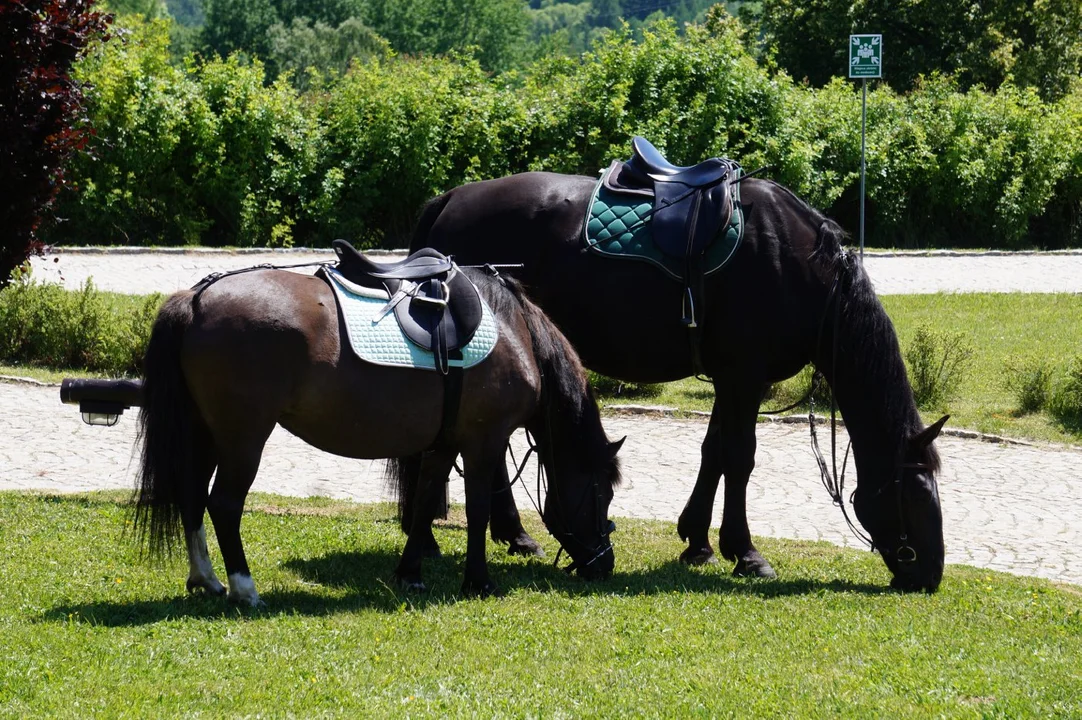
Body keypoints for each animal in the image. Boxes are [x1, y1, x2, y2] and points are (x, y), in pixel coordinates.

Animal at [408, 166, 952, 588]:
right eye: (917, 493)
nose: (930, 575)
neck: (796, 263)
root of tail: (450, 199)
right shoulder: (745, 378)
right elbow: (740, 458)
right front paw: (745, 552)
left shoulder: (733, 379)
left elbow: (715, 453)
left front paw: (698, 541)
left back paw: (508, 535)